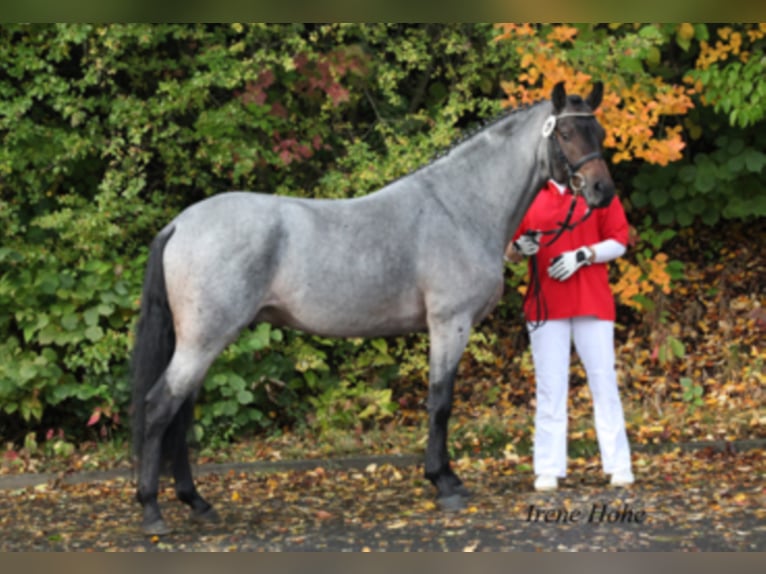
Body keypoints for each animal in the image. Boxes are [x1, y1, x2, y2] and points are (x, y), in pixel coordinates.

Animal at [130, 80, 612, 536]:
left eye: (600, 132)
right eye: (565, 132)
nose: (601, 191)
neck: (458, 208)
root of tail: (180, 224)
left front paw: (448, 478)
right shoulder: (449, 325)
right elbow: (440, 402)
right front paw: (443, 483)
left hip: (201, 342)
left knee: (180, 414)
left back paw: (196, 502)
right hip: (204, 340)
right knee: (159, 408)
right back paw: (152, 510)